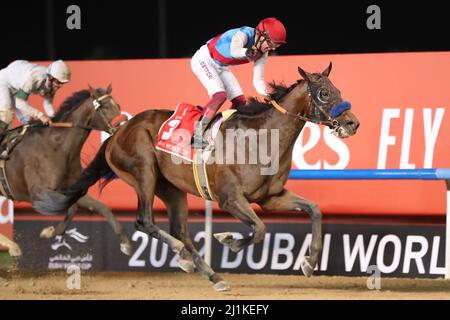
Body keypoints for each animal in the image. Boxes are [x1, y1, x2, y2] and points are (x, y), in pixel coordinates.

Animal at [0, 85, 133, 260]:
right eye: (104, 107)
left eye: (117, 105)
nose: (124, 127)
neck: (57, 148)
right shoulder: (39, 193)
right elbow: (69, 205)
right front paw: (49, 231)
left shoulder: (71, 189)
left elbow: (99, 207)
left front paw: (125, 243)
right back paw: (13, 247)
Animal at [35, 62, 358, 290]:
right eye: (325, 93)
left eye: (339, 90)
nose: (352, 123)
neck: (261, 137)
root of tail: (117, 131)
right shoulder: (230, 199)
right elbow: (260, 229)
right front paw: (229, 240)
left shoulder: (271, 197)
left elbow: (314, 210)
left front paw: (310, 262)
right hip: (143, 172)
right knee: (145, 221)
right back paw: (183, 256)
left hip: (171, 188)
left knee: (182, 231)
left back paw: (211, 274)